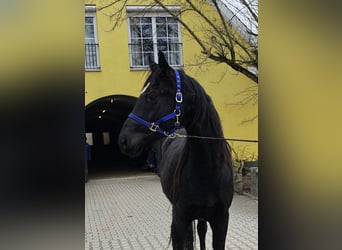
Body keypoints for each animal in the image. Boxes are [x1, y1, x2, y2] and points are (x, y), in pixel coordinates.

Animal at [119, 51, 234, 249]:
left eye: (152, 95)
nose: (123, 140)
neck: (208, 170)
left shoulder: (221, 221)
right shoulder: (180, 218)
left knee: (201, 230)